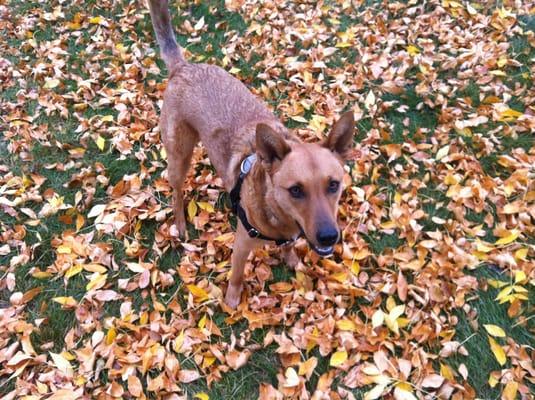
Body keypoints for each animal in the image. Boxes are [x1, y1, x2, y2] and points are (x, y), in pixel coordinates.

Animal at [148, 0, 356, 310]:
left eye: (333, 185)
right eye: (296, 190)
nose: (329, 236)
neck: (277, 213)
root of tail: (183, 67)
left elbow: (290, 247)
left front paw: (290, 258)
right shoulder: (242, 243)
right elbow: (236, 275)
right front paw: (232, 300)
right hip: (179, 156)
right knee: (176, 191)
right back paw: (180, 222)